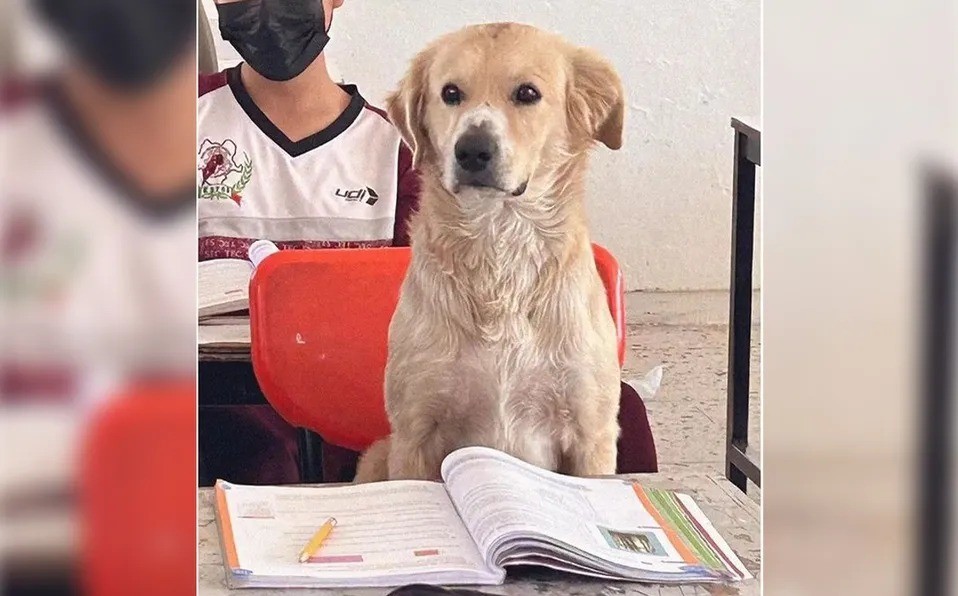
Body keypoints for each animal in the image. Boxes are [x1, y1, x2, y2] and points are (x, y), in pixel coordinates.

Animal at [356, 21, 628, 482]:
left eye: (527, 93)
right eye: (450, 93)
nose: (471, 150)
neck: (499, 245)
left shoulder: (591, 433)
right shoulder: (415, 431)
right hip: (378, 454)